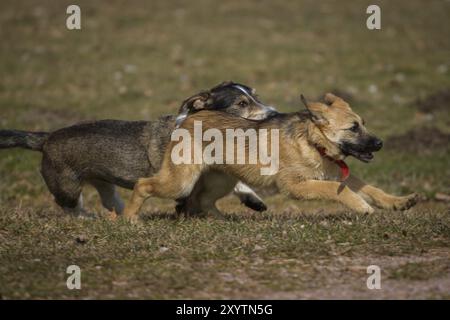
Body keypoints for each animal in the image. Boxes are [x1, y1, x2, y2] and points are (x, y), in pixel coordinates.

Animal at [0, 82, 276, 218]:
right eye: (241, 103)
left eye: (257, 96)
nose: (274, 113)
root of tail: (46, 138)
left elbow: (237, 181)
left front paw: (254, 200)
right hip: (66, 186)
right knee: (70, 206)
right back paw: (86, 218)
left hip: (104, 184)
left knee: (111, 200)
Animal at [122, 94, 418, 221]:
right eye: (353, 128)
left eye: (363, 124)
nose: (380, 143)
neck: (312, 143)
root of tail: (188, 119)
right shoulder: (296, 186)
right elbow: (339, 190)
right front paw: (361, 206)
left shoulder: (338, 173)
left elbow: (372, 189)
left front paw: (399, 202)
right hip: (181, 180)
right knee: (143, 185)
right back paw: (129, 219)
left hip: (221, 179)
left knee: (201, 201)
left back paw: (225, 220)